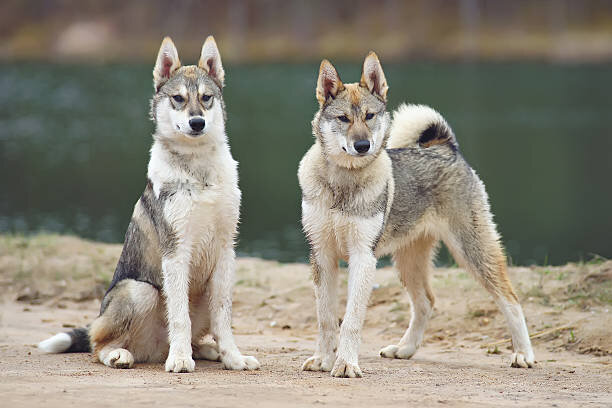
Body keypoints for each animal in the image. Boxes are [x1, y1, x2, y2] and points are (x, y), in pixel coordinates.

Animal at [38, 35, 258, 372]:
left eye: (206, 98)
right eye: (178, 99)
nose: (197, 122)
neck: (199, 172)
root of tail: (153, 350)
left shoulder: (225, 252)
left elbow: (224, 318)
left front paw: (233, 357)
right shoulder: (176, 251)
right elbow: (179, 317)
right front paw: (180, 360)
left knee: (197, 334)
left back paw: (207, 351)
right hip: (140, 291)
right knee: (98, 345)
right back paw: (125, 355)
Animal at [298, 52, 532, 378]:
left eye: (370, 116)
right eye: (343, 118)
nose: (362, 146)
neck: (343, 182)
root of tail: (448, 148)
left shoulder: (362, 257)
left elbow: (352, 320)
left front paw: (345, 364)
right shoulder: (322, 255)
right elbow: (326, 317)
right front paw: (322, 359)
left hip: (472, 252)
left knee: (510, 298)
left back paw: (524, 355)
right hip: (408, 262)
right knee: (425, 303)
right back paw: (405, 349)